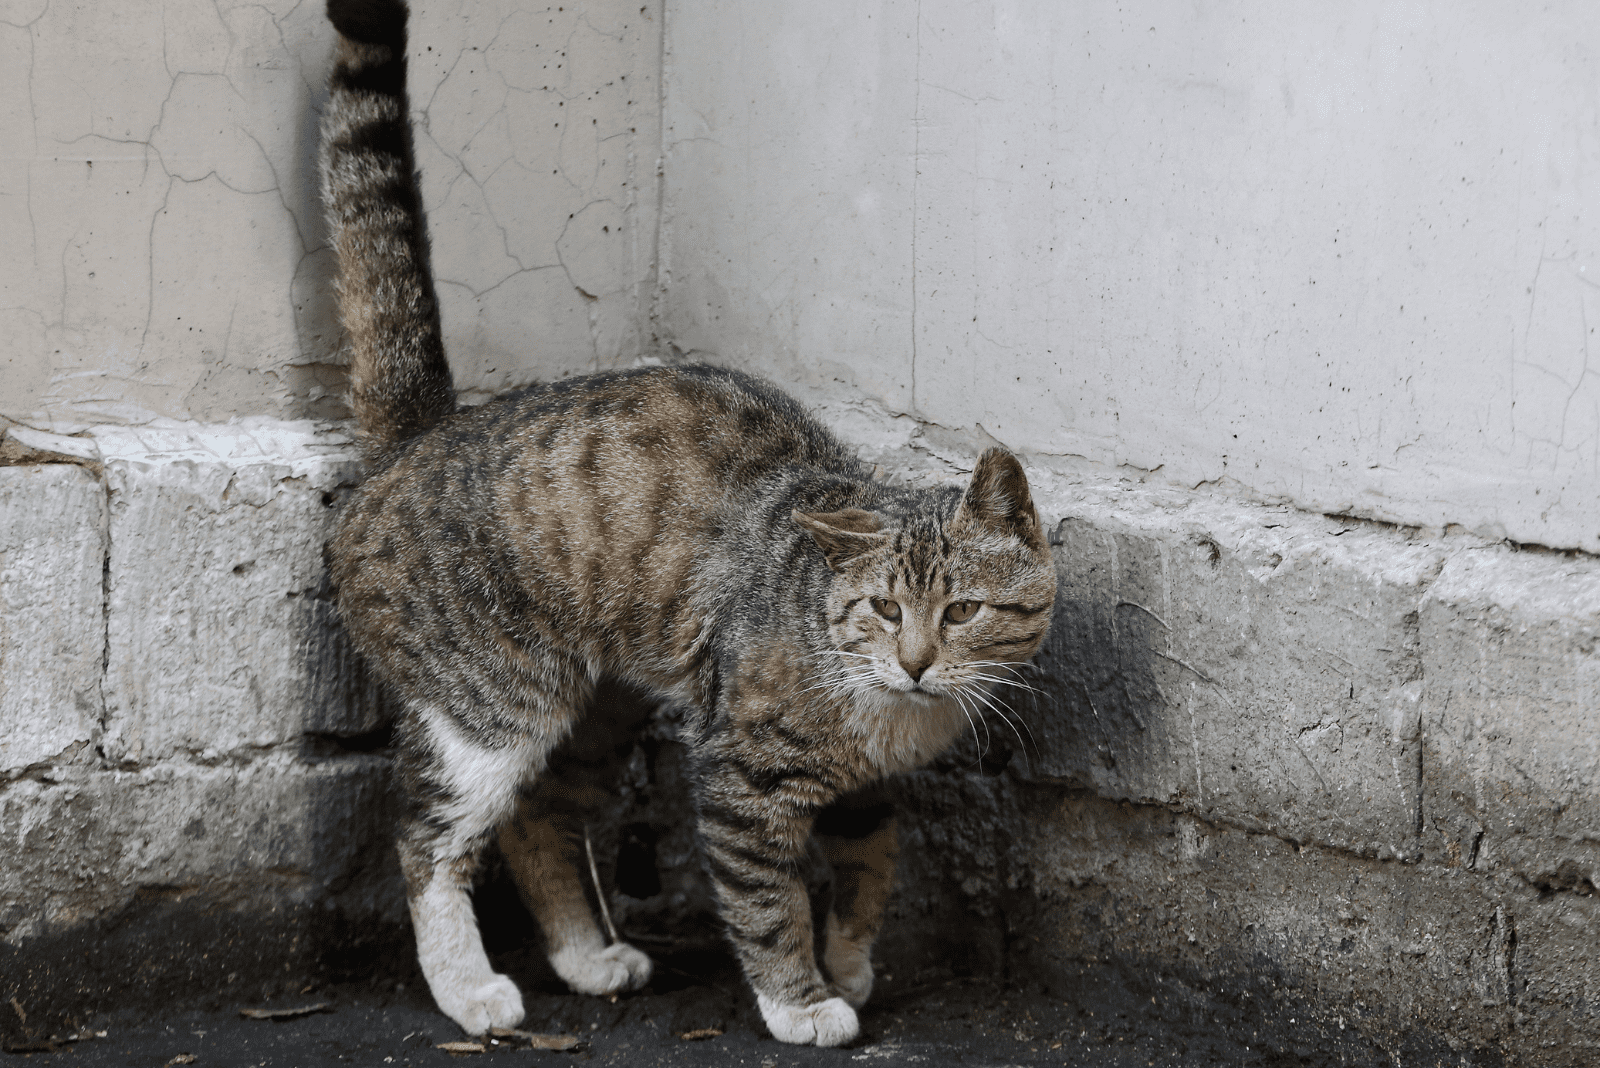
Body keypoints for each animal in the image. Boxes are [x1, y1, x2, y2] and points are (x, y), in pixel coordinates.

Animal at [316, 0, 1056, 1048]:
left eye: (961, 612)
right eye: (881, 608)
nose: (914, 662)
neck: (891, 715)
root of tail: (422, 437)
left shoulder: (867, 795)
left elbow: (870, 869)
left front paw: (850, 963)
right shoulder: (737, 774)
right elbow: (768, 901)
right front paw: (804, 1000)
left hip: (598, 708)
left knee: (541, 814)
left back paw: (586, 957)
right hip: (489, 705)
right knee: (429, 839)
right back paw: (471, 989)